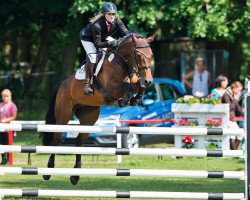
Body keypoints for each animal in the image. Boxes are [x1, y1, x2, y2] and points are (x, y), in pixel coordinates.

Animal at [41, 32, 154, 184]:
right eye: (139, 55)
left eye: (151, 55)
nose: (148, 81)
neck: (121, 63)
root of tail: (63, 84)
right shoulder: (111, 88)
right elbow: (128, 85)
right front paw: (126, 98)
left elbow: (137, 85)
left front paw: (135, 98)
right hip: (63, 115)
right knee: (56, 140)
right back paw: (48, 171)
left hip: (89, 117)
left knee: (79, 142)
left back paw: (75, 175)